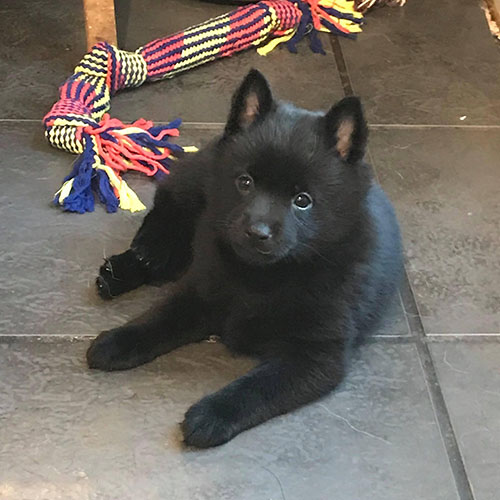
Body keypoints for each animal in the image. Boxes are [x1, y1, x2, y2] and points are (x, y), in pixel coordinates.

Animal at [88, 68, 404, 448]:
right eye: (245, 182)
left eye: (302, 200)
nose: (257, 231)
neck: (264, 277)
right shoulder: (199, 292)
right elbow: (158, 318)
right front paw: (117, 340)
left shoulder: (315, 354)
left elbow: (258, 387)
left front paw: (210, 414)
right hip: (193, 191)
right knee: (165, 219)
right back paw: (127, 267)